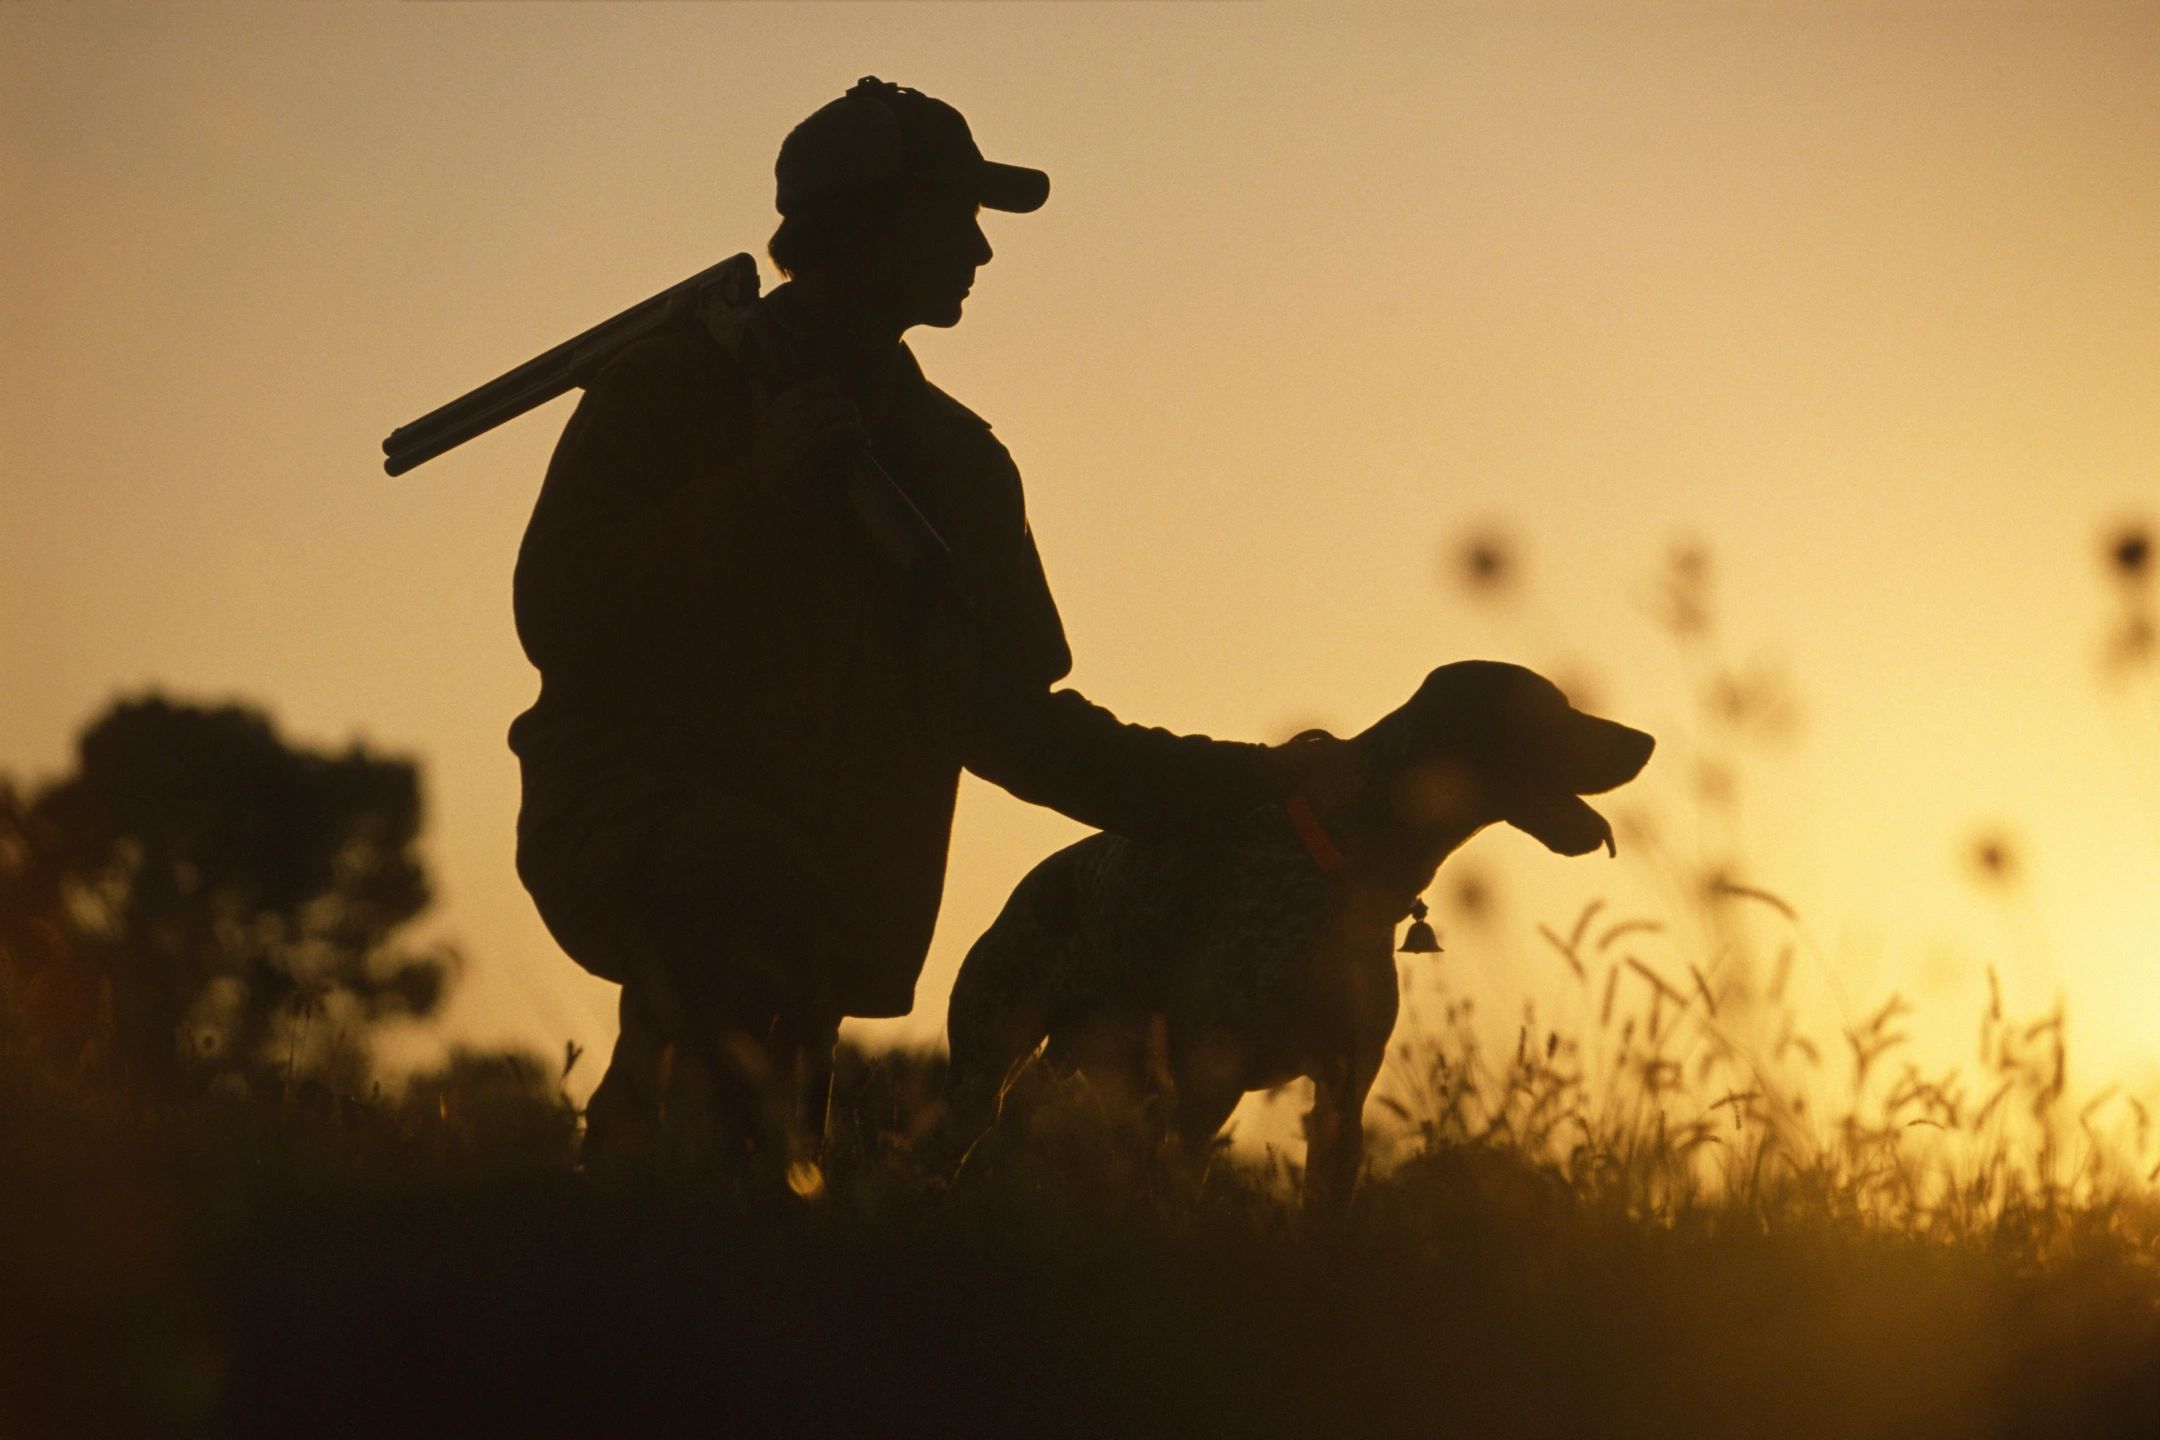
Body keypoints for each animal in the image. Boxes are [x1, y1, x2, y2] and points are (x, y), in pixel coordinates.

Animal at [941, 669, 1650, 1217]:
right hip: (987, 1076)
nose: (1645, 740)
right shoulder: (1207, 1090)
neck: (1346, 867)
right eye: (1548, 709)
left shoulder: (1343, 1095)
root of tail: (1031, 885)